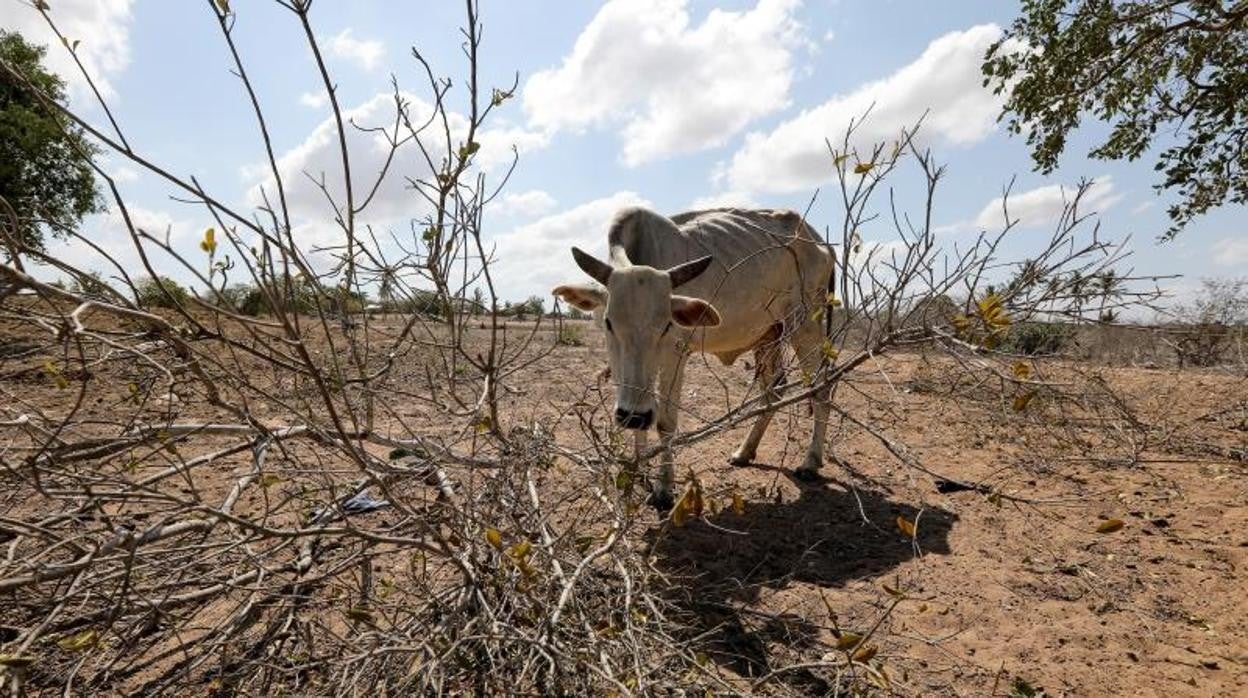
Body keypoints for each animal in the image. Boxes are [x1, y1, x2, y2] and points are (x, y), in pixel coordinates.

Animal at [551, 204, 833, 511]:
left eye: (666, 325)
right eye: (609, 323)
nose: (634, 416)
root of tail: (819, 242)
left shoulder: (676, 355)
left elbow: (664, 422)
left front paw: (663, 489)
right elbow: (641, 419)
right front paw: (639, 468)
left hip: (805, 323)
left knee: (822, 387)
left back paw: (810, 462)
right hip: (769, 334)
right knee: (774, 390)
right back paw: (745, 451)